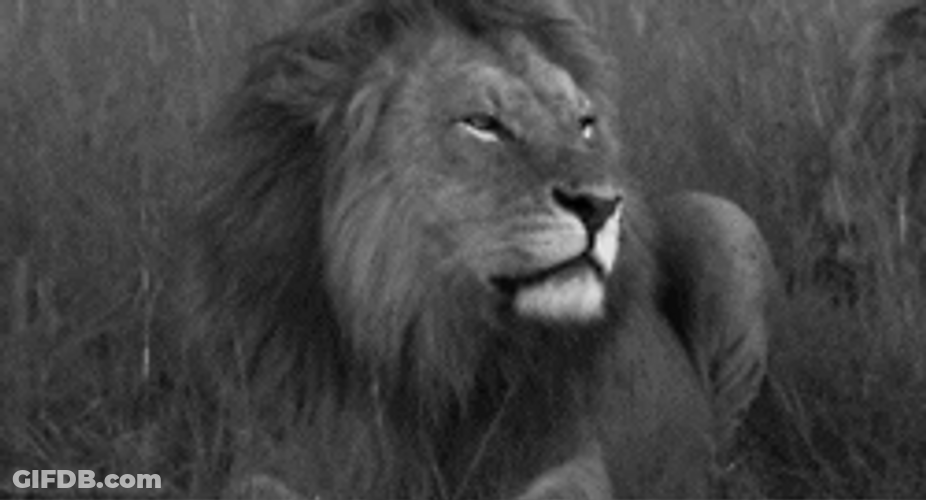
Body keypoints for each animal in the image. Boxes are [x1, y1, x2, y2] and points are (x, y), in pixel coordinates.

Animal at [188, 0, 778, 498]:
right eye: (482, 124)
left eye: (584, 124)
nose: (603, 205)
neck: (430, 348)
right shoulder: (276, 453)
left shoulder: (570, 461)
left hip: (727, 222)